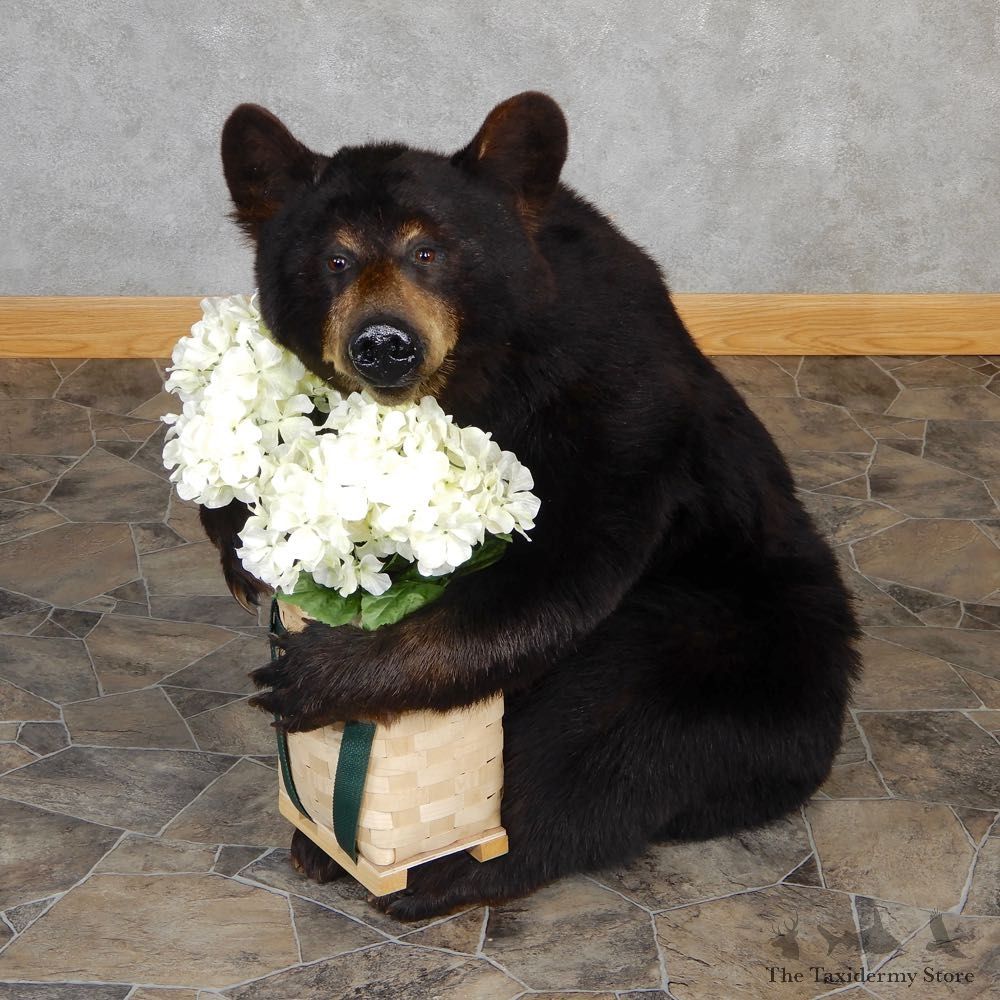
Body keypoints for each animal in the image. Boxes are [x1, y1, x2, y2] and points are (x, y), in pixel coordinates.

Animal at [201, 92, 860, 921]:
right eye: (335, 259)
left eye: (430, 251)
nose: (384, 343)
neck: (477, 374)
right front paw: (240, 537)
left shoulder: (609, 387)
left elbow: (564, 567)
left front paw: (317, 675)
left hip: (737, 643)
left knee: (611, 737)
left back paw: (446, 870)